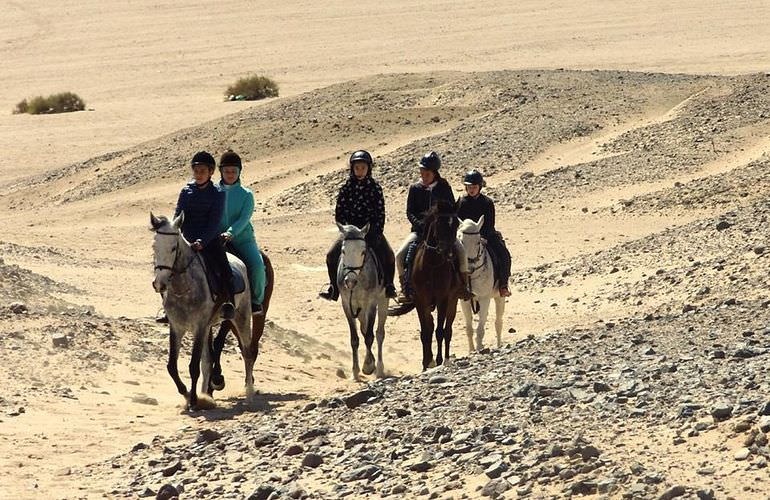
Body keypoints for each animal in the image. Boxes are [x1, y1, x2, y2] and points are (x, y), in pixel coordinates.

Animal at [150, 212, 255, 410]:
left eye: (174, 248)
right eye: (154, 246)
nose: (159, 284)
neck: (184, 287)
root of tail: (239, 262)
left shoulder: (198, 327)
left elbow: (193, 366)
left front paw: (193, 400)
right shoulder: (177, 327)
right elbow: (172, 366)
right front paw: (187, 394)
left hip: (241, 317)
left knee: (247, 352)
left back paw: (249, 391)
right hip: (208, 327)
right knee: (208, 362)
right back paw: (207, 393)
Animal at [332, 223, 388, 378]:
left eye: (363, 252)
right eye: (343, 251)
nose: (350, 281)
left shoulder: (371, 303)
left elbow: (369, 336)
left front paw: (368, 366)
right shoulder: (346, 304)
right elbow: (355, 338)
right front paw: (355, 371)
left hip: (383, 302)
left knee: (379, 333)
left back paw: (379, 368)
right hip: (360, 309)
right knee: (364, 329)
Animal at [390, 200, 462, 372]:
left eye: (456, 224)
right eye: (439, 224)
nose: (449, 254)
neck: (432, 264)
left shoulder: (443, 299)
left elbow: (440, 331)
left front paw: (439, 360)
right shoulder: (420, 300)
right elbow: (425, 332)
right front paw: (425, 364)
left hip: (453, 301)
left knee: (448, 330)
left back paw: (446, 358)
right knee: (431, 325)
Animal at [456, 216, 504, 352]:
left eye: (478, 242)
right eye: (461, 241)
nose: (469, 268)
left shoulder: (484, 299)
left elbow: (480, 329)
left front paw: (478, 349)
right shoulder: (465, 300)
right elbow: (469, 328)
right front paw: (472, 350)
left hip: (499, 297)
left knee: (498, 322)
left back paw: (499, 345)